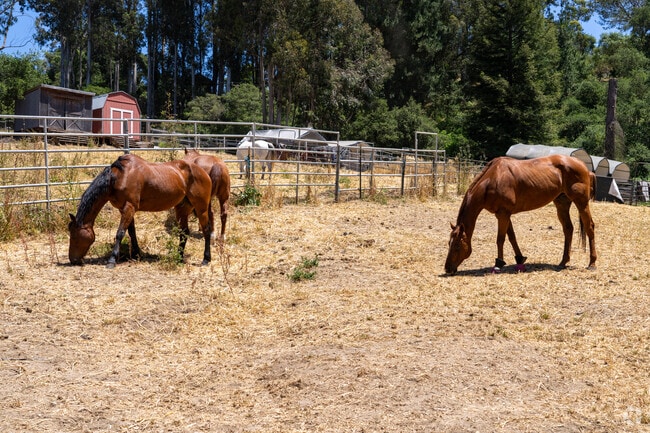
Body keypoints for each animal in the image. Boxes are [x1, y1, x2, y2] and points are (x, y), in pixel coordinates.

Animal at [68, 153, 213, 268]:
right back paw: (179, 257)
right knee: (184, 232)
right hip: (182, 209)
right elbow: (132, 232)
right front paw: (137, 254)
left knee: (206, 230)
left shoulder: (129, 207)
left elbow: (120, 233)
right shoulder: (125, 209)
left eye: (74, 236)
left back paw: (206, 259)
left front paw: (112, 260)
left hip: (201, 208)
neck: (119, 176)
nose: (73, 259)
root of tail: (204, 172)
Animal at [444, 155, 597, 275]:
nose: (447, 268)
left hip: (581, 203)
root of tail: (584, 167)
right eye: (449, 243)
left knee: (589, 227)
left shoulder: (503, 214)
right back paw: (563, 262)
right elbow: (512, 237)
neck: (492, 180)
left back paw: (592, 263)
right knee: (568, 229)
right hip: (562, 204)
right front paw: (519, 259)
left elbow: (500, 239)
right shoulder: (504, 214)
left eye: (457, 245)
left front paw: (498, 264)